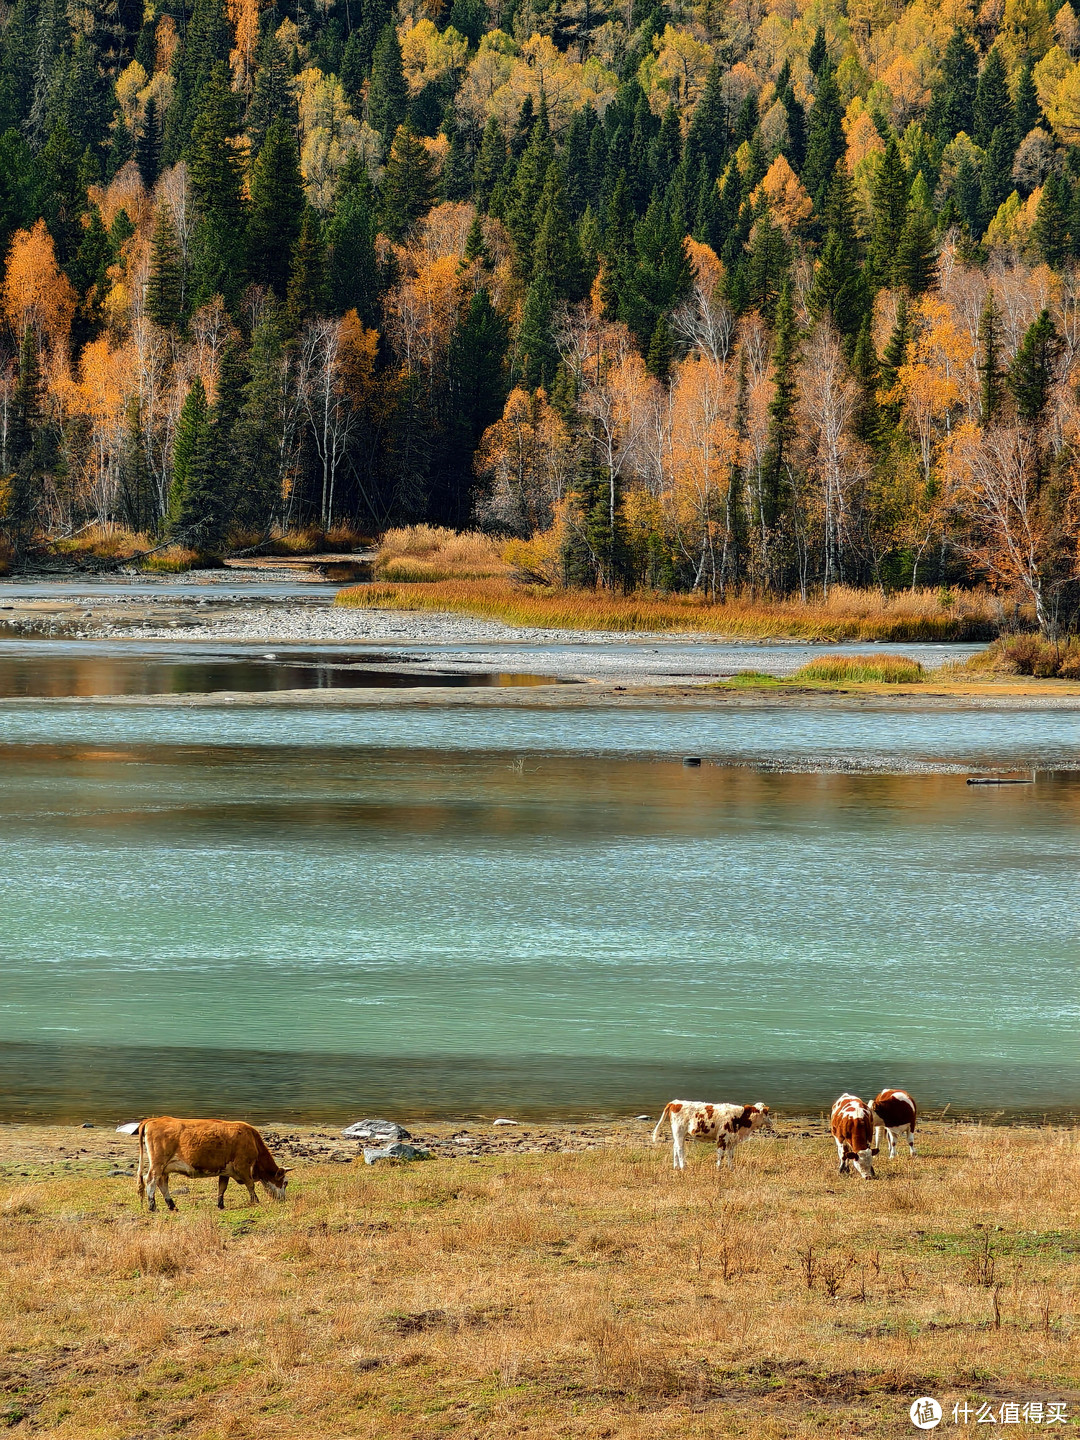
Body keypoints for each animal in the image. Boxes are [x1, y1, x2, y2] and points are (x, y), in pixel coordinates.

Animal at [121, 1117, 292, 1209]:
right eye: (285, 1182)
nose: (283, 1200)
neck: (251, 1139)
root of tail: (154, 1119)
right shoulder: (242, 1166)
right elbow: (250, 1185)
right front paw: (255, 1201)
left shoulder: (225, 1170)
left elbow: (222, 1187)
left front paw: (220, 1205)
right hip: (158, 1163)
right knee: (150, 1180)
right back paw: (152, 1206)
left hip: (165, 1167)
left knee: (162, 1183)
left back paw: (172, 1205)